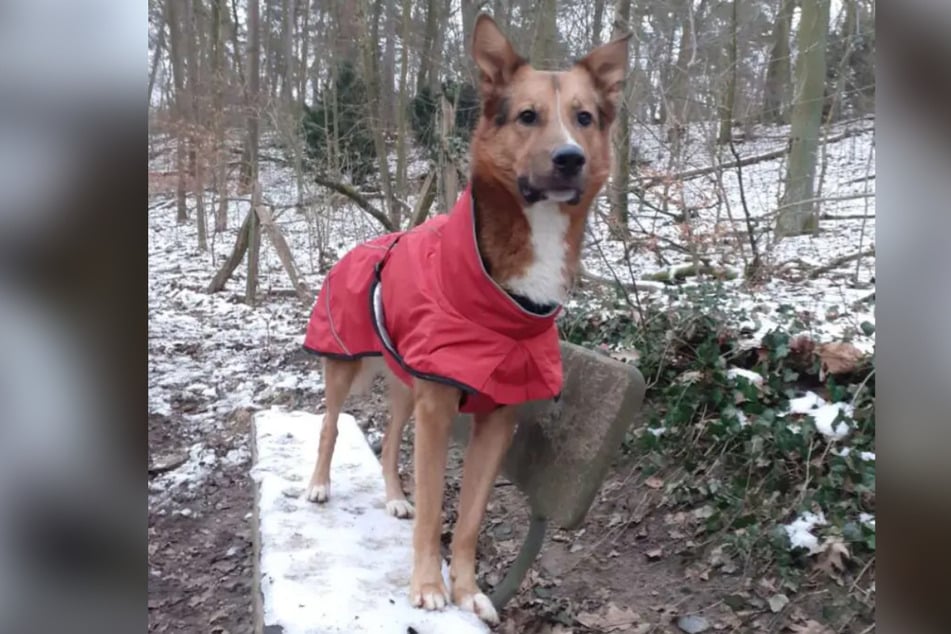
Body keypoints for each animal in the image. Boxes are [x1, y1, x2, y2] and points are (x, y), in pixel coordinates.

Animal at [304, 13, 632, 624]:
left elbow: (471, 519)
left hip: (406, 382)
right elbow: (438, 507)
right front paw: (428, 588)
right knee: (331, 424)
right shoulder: (438, 409)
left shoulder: (497, 415)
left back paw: (394, 497)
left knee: (390, 440)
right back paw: (318, 485)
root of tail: (361, 244)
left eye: (584, 118)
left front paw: (466, 590)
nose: (570, 158)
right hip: (345, 363)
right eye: (527, 116)